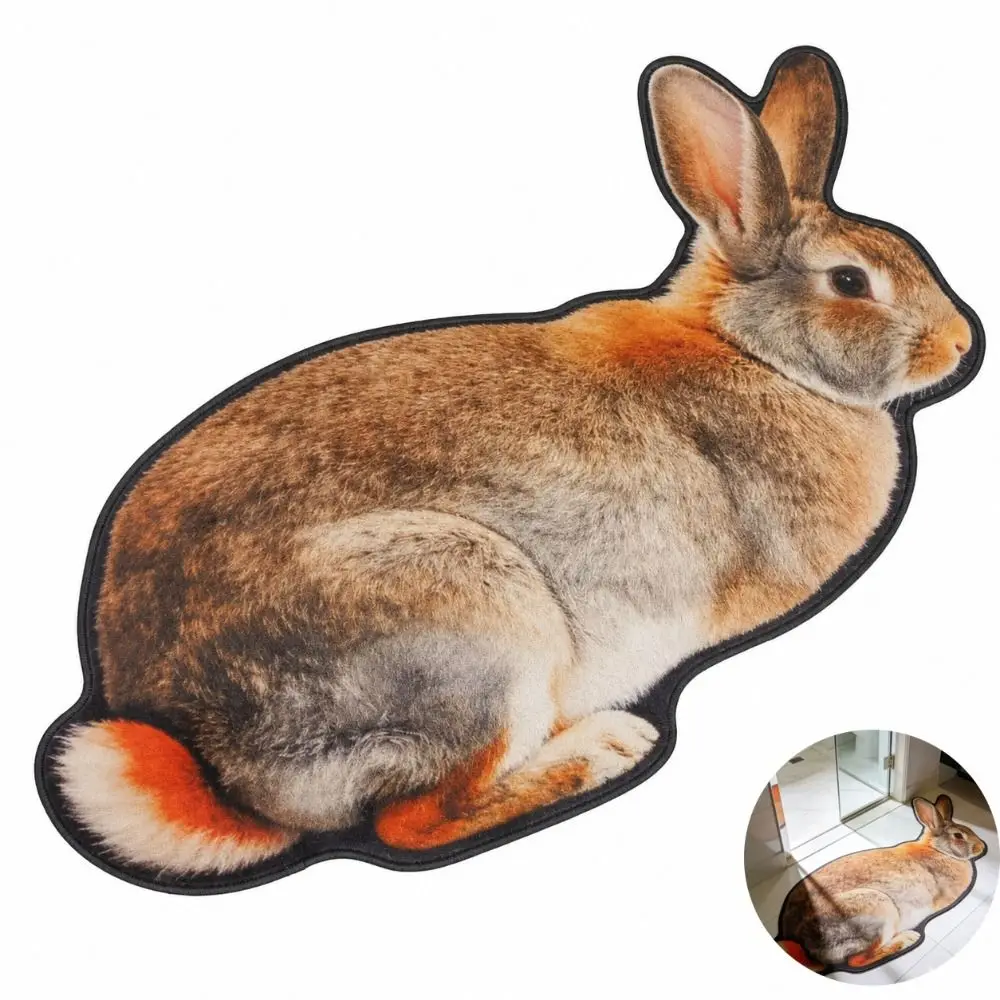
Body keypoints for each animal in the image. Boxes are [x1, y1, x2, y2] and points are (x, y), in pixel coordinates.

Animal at [41, 47, 978, 884]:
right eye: (851, 282)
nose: (964, 344)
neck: (756, 352)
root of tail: (210, 762)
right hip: (473, 625)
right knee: (412, 822)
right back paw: (606, 749)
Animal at [776, 795, 986, 973]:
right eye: (958, 836)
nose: (982, 847)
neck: (938, 850)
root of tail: (803, 943)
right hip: (879, 910)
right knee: (857, 960)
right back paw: (909, 939)